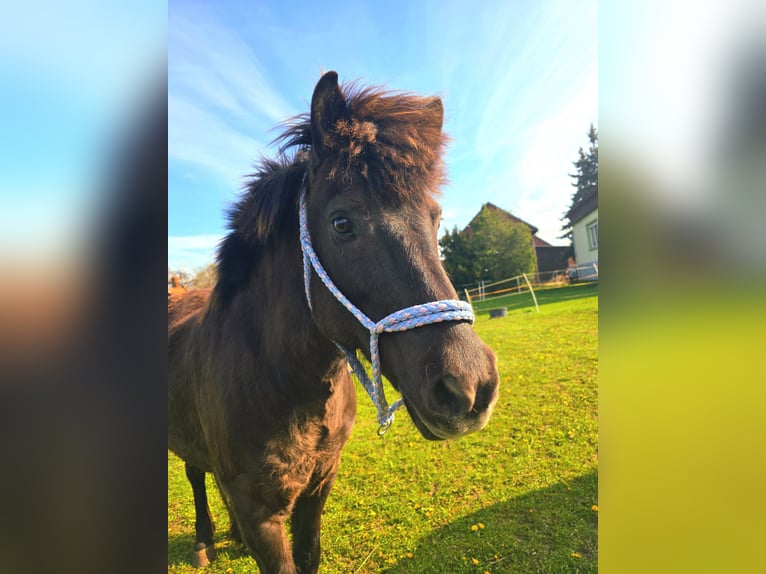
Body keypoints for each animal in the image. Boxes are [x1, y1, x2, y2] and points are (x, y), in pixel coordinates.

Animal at [168, 71, 500, 573]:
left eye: (436, 218)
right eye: (341, 223)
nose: (471, 385)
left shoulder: (318, 485)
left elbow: (309, 554)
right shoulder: (259, 513)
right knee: (194, 473)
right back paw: (205, 542)